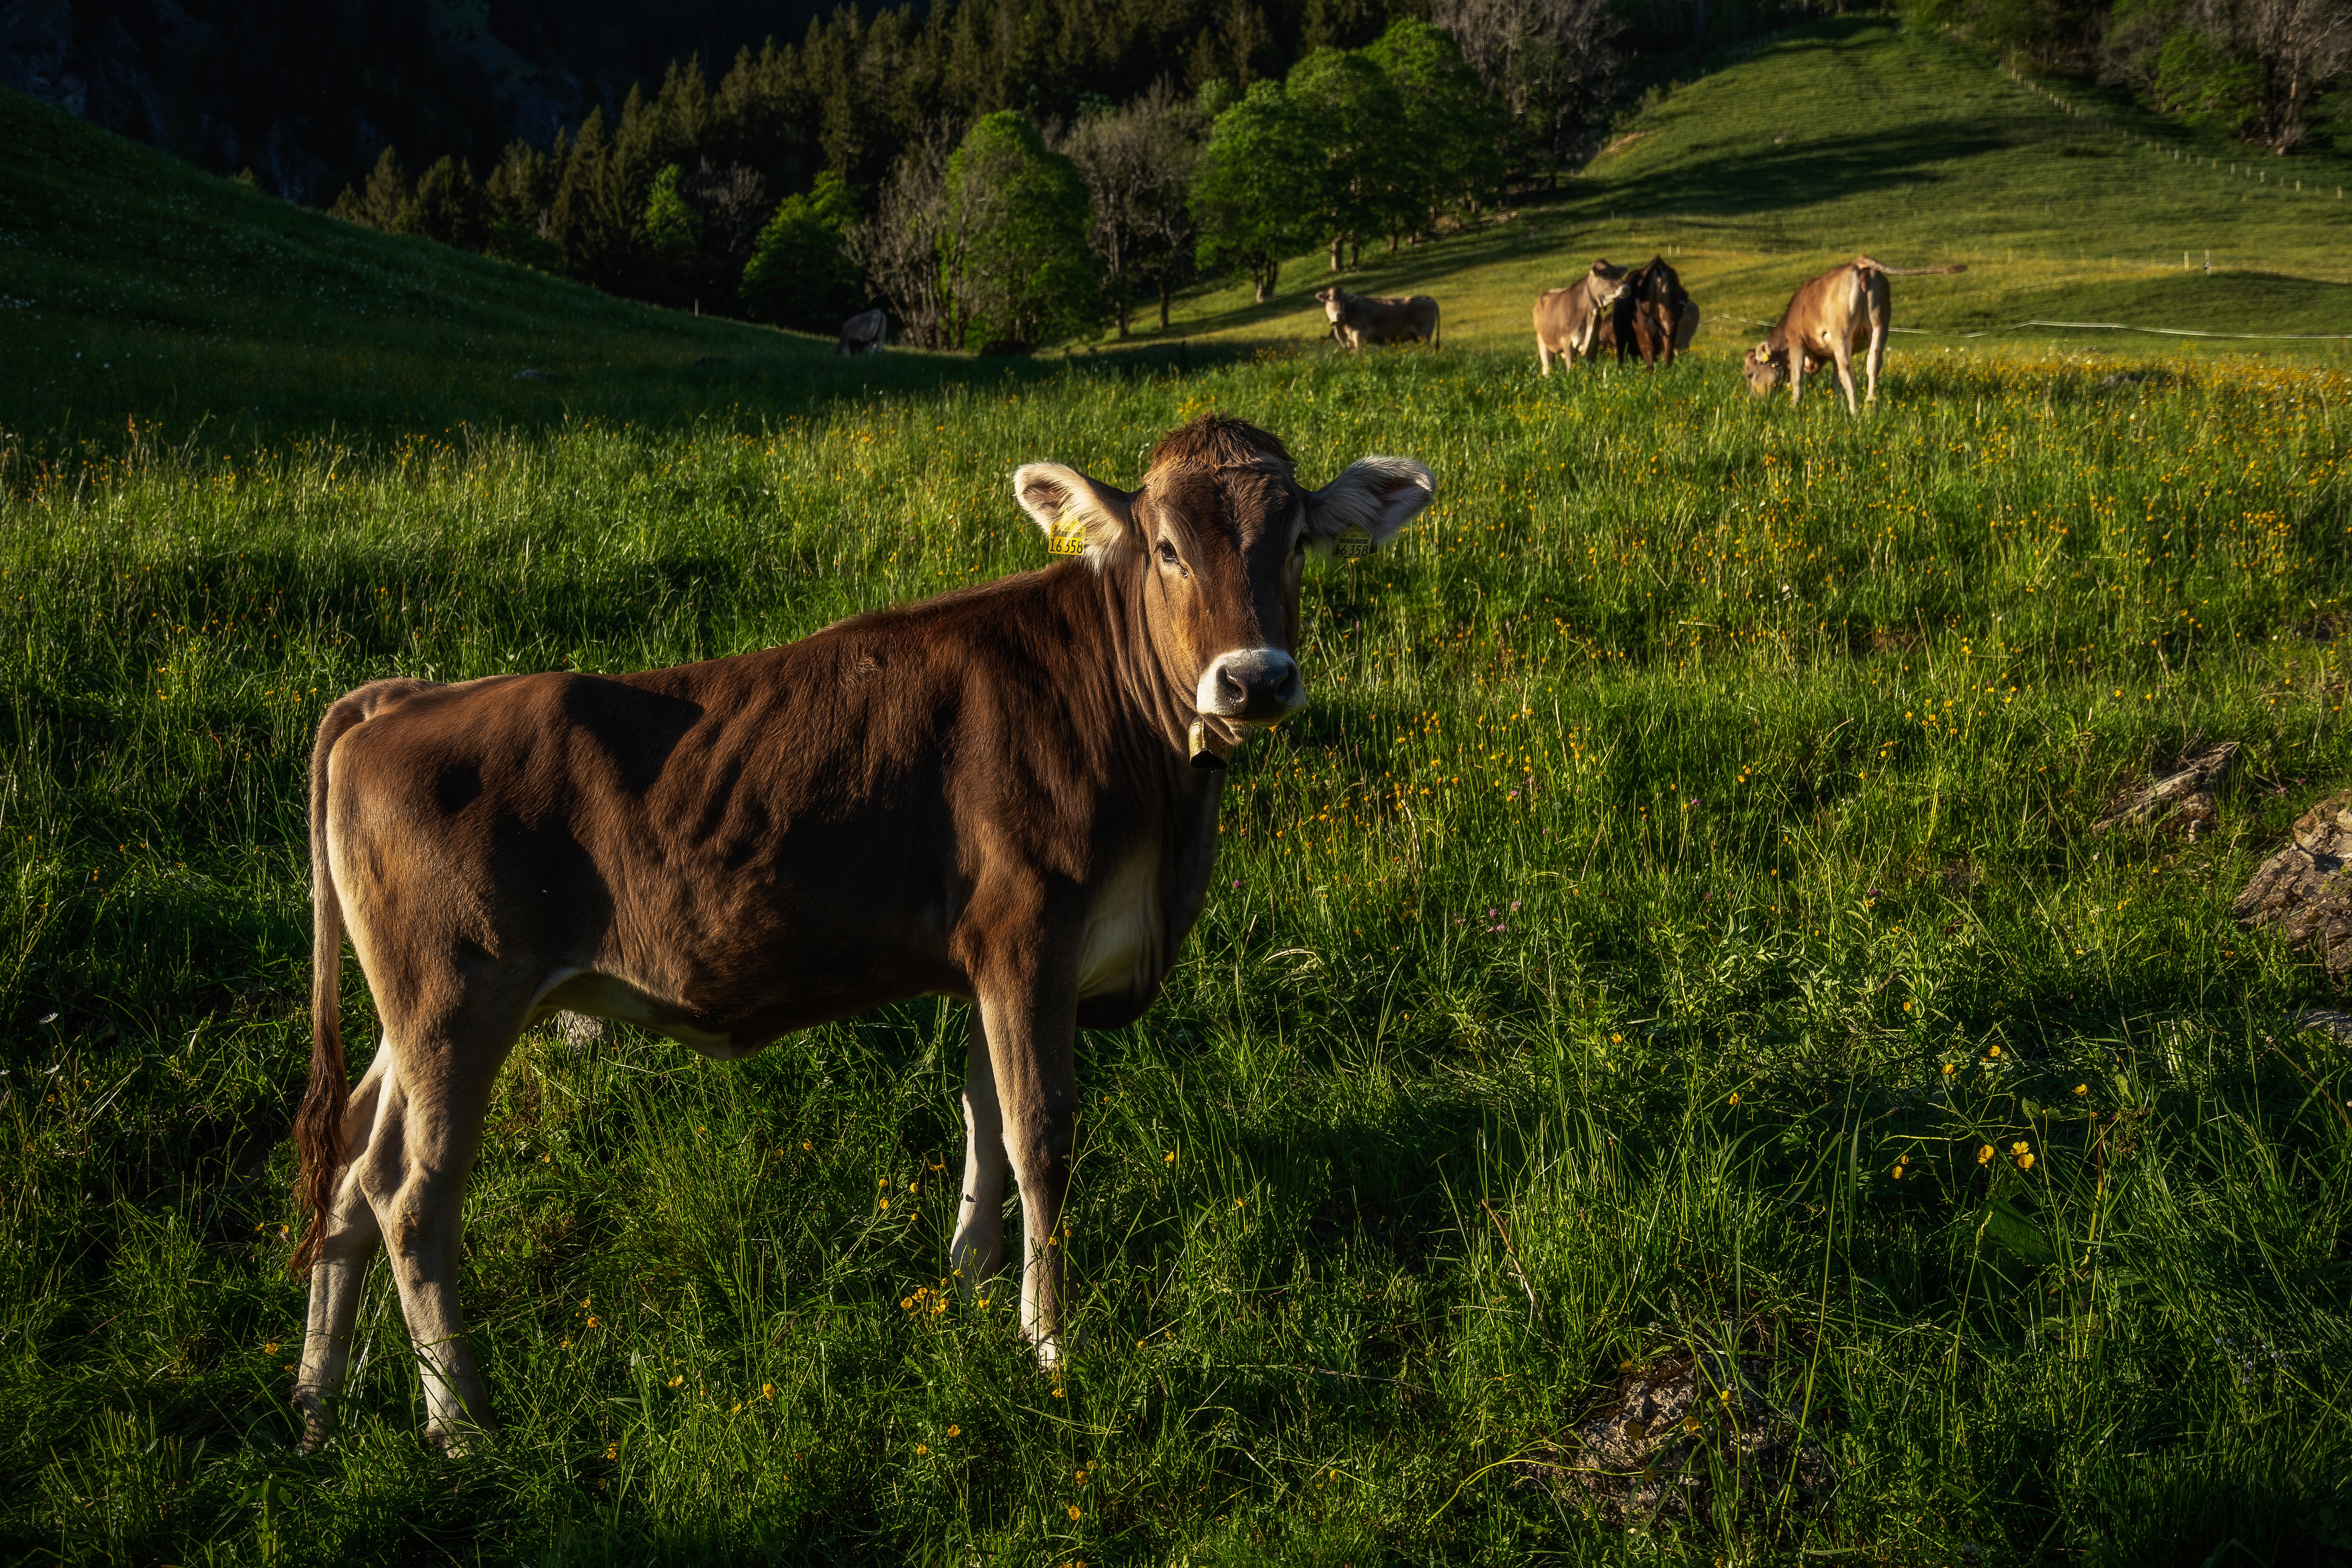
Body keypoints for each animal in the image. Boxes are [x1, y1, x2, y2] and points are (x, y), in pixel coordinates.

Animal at [289, 411, 1430, 1457]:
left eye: (1295, 540)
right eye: (1165, 547)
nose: (1256, 678)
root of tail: (403, 697)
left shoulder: (991, 957)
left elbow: (981, 1114)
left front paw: (972, 1283)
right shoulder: (1030, 933)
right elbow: (1039, 1130)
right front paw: (1050, 1342)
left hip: (414, 1017)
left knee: (349, 1163)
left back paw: (315, 1402)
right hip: (456, 999)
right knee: (412, 1191)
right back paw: (457, 1420)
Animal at [1317, 288, 1439, 352]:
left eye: (1344, 301)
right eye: (1331, 300)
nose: (1340, 315)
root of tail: (1427, 298)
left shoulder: (1360, 336)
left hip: (1424, 335)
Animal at [1533, 263, 1627, 376]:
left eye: (1619, 274)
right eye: (1606, 274)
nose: (1627, 288)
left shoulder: (1594, 344)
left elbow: (1591, 370)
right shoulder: (1567, 343)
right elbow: (1570, 370)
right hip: (1543, 343)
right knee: (1547, 370)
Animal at [1750, 253, 1966, 411]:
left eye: (1750, 374)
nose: (1755, 401)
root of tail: (1858, 264)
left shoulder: (1797, 342)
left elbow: (1798, 380)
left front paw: (1795, 409)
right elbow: (1835, 384)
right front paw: (1838, 410)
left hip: (1842, 334)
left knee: (1849, 372)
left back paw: (1855, 411)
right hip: (1880, 326)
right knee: (1874, 363)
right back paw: (1871, 404)